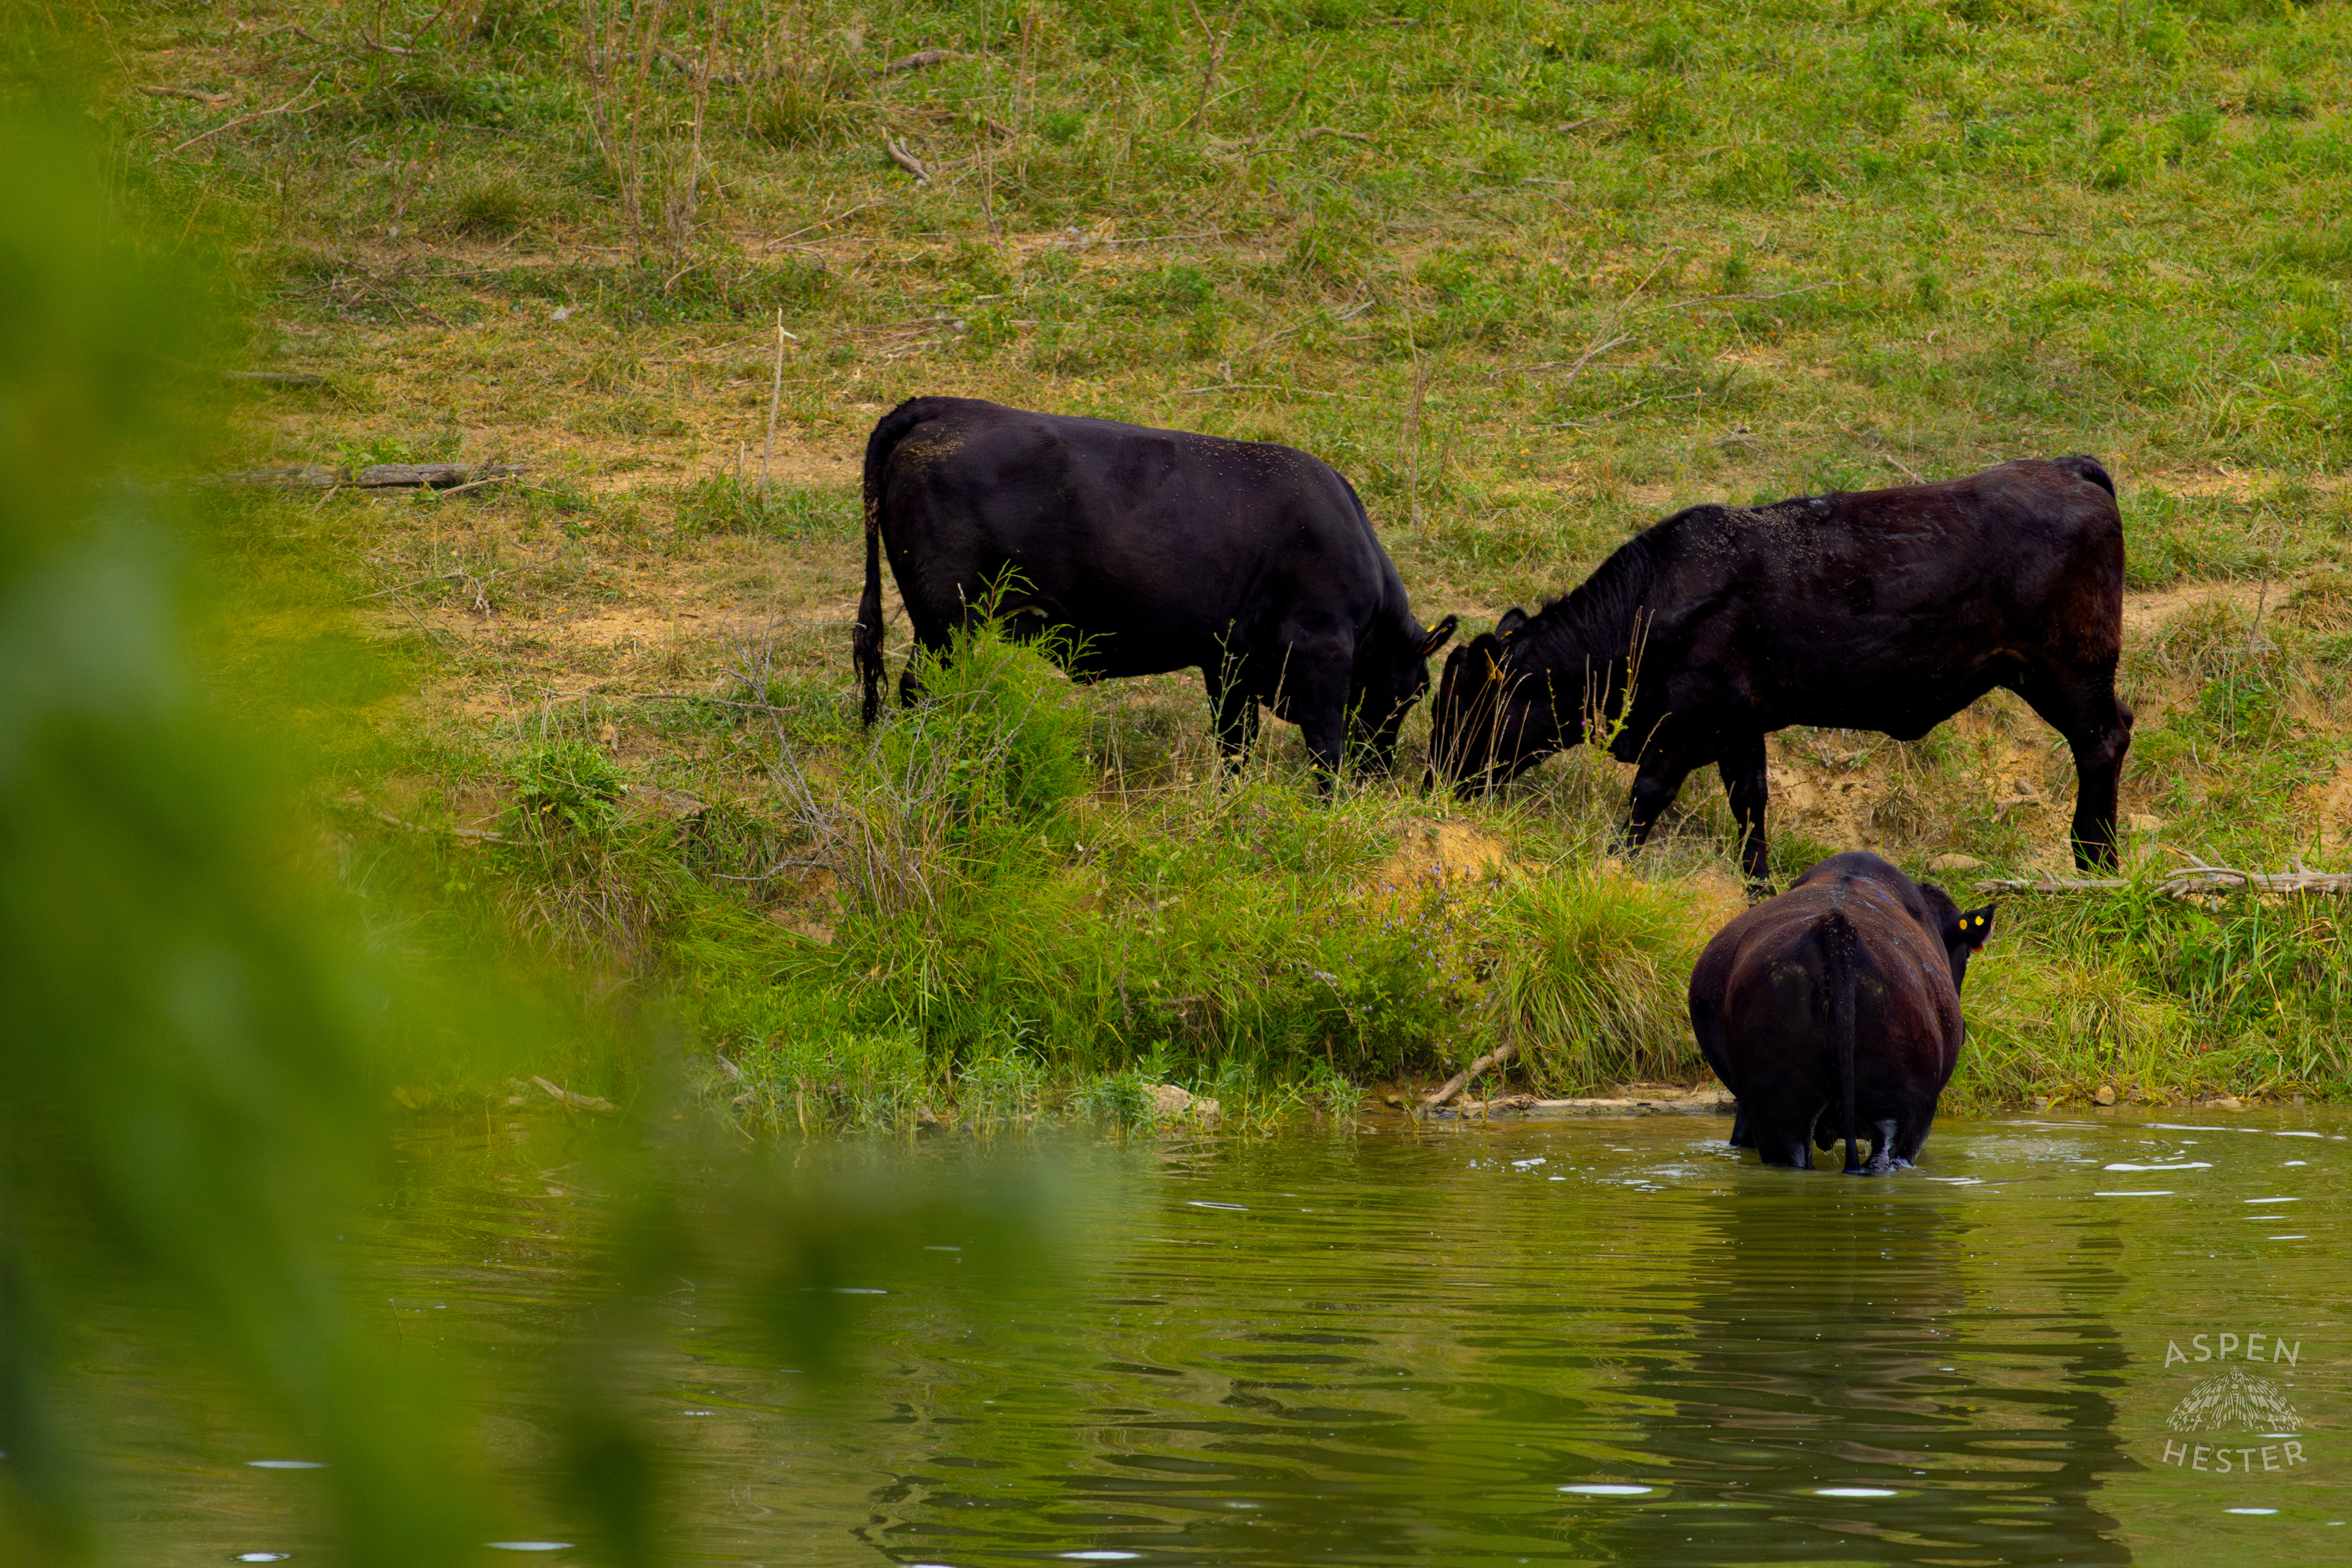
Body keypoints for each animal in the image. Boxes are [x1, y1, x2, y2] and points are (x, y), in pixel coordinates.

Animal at [855, 397, 1458, 782]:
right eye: (1418, 692)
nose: (1379, 770)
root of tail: (943, 407)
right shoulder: (1320, 653)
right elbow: (1326, 745)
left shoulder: (1231, 661)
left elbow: (1236, 744)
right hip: (946, 618)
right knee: (920, 690)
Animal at [1426, 457, 2133, 884]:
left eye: (1462, 705)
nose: (1433, 780)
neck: (1654, 599)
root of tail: (2067, 469)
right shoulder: (1740, 724)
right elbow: (1752, 804)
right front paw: (1758, 889)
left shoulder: (1688, 717)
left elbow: (1647, 794)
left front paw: (1612, 866)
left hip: (2068, 668)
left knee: (2104, 740)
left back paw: (2094, 857)